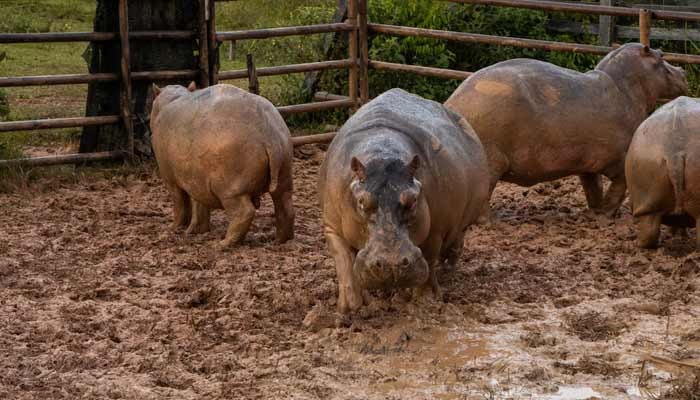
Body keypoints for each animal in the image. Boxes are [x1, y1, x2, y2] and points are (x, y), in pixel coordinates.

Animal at [150, 83, 295, 247]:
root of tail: (268, 133)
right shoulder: (196, 180)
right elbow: (199, 206)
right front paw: (195, 231)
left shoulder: (170, 179)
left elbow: (180, 203)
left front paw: (173, 228)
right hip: (284, 173)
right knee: (285, 206)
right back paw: (279, 241)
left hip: (230, 189)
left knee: (244, 212)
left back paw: (222, 244)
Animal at [318, 88, 490, 313]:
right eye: (362, 202)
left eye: (413, 199)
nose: (392, 264)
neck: (382, 153)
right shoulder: (332, 226)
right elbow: (344, 261)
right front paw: (350, 307)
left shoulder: (435, 229)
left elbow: (429, 257)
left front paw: (427, 301)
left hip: (463, 219)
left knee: (456, 238)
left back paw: (444, 269)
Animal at [445, 43, 688, 217]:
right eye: (661, 56)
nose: (683, 70)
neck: (627, 87)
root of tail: (452, 104)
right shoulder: (621, 160)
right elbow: (619, 187)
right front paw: (607, 215)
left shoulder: (588, 163)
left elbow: (593, 188)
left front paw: (595, 213)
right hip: (490, 160)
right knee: (483, 199)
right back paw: (491, 221)